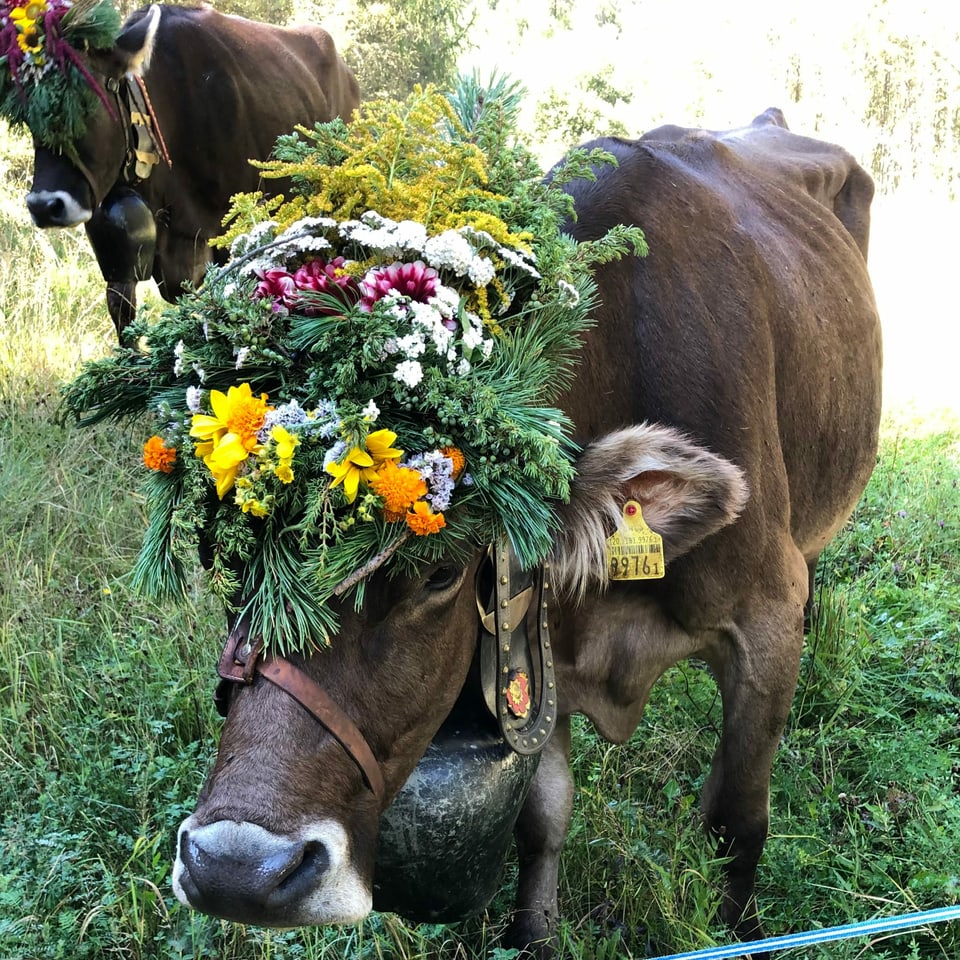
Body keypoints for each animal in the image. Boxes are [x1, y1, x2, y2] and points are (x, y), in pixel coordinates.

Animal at [171, 109, 876, 956]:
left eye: (440, 572)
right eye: (224, 557)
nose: (236, 868)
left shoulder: (764, 621)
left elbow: (736, 817)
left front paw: (739, 929)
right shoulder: (540, 648)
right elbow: (543, 819)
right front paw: (534, 933)